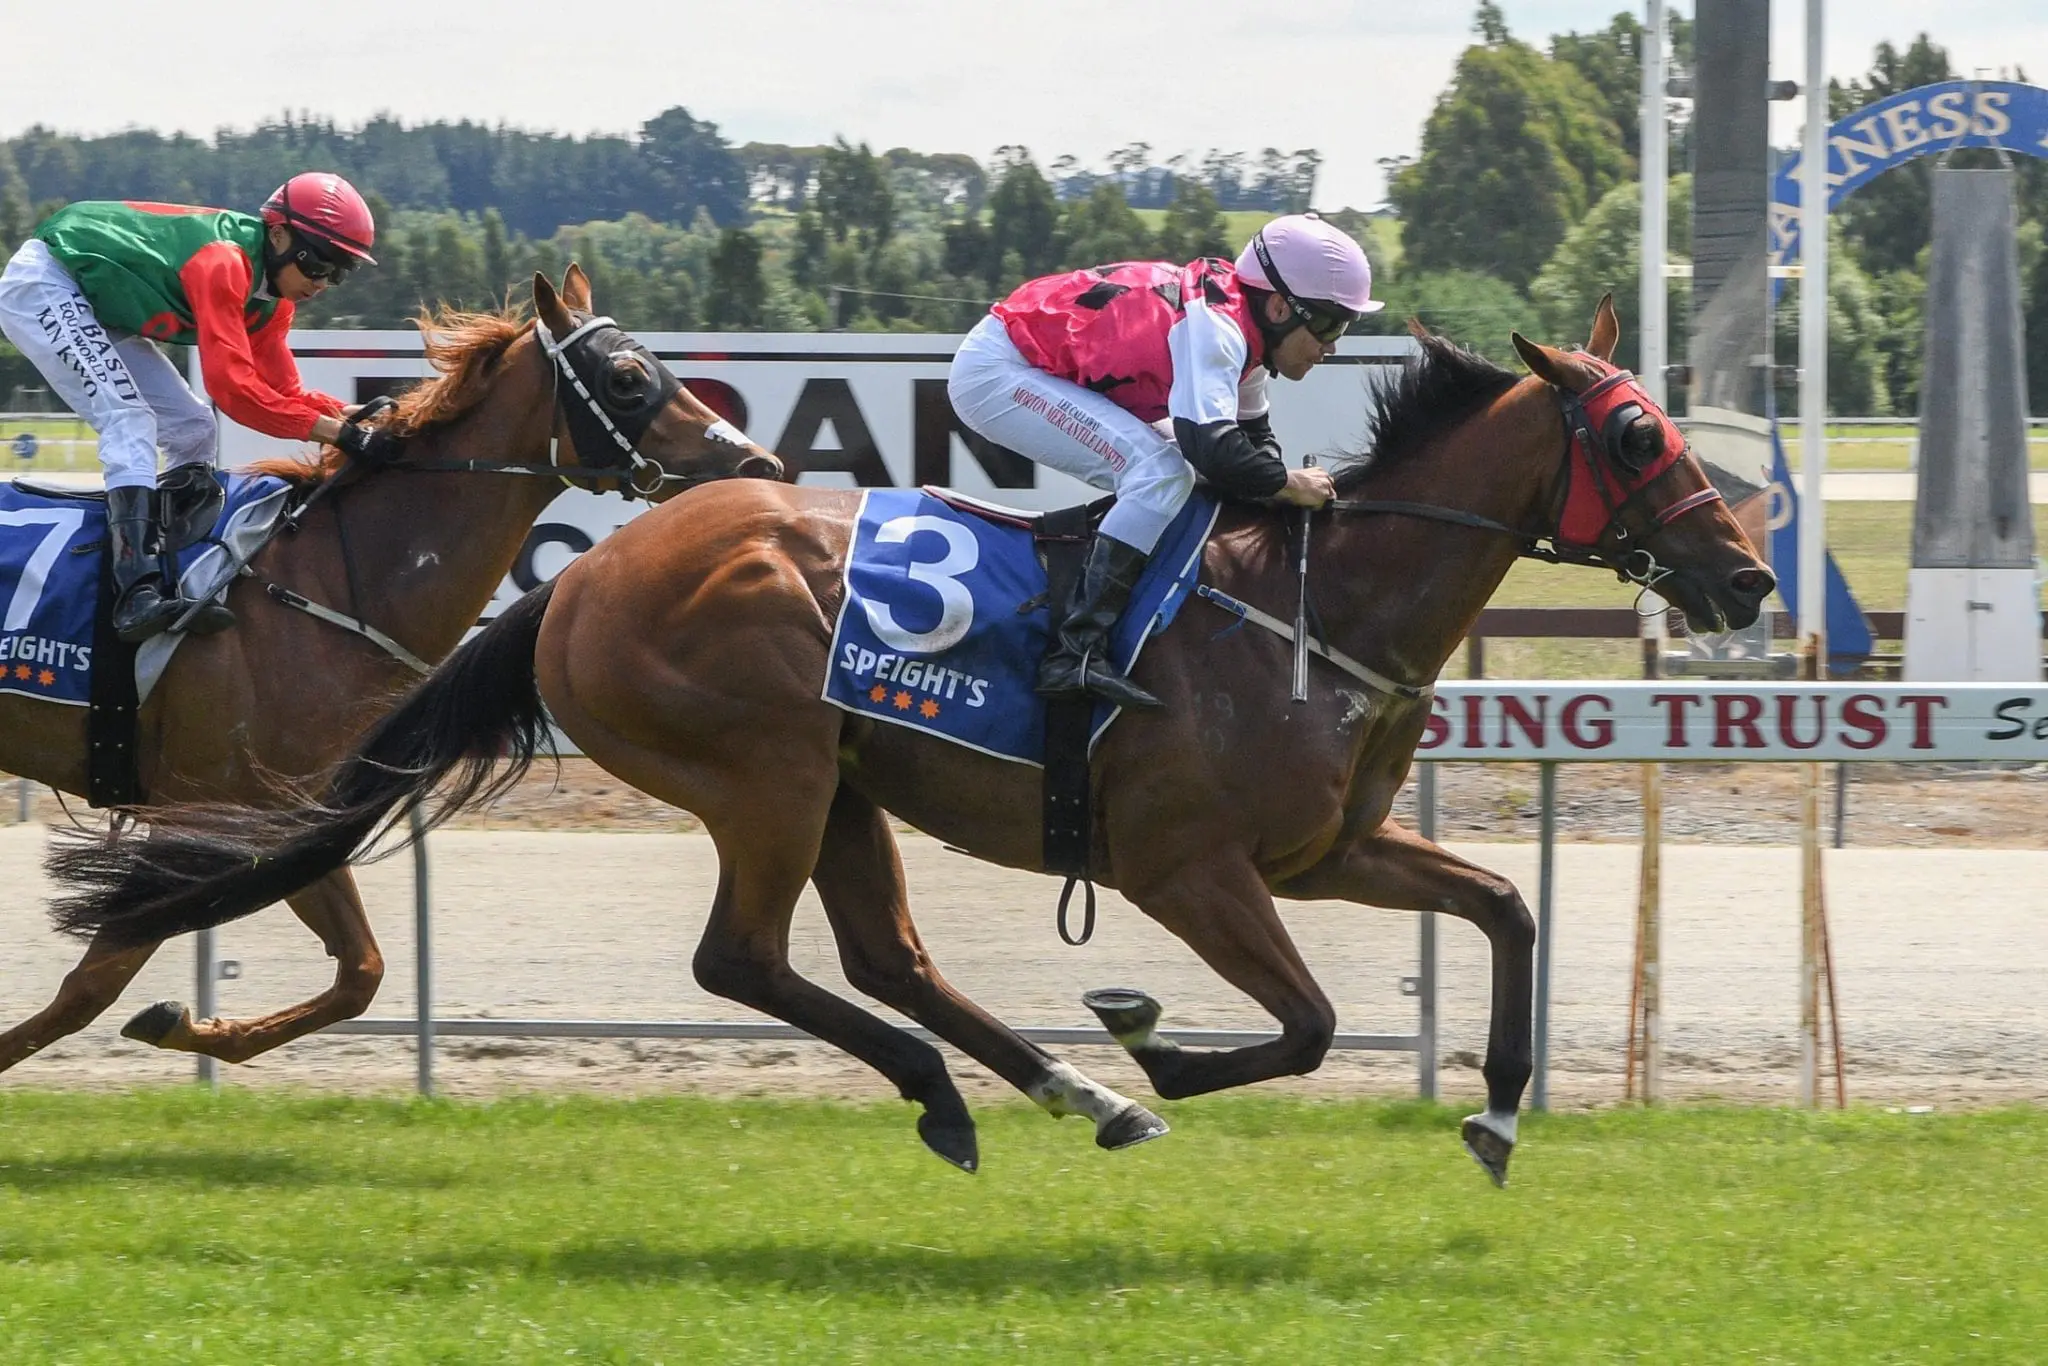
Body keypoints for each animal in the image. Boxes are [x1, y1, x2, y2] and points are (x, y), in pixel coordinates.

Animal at [0, 264, 782, 1081]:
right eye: (627, 378)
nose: (758, 466)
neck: (327, 582)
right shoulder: (198, 805)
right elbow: (94, 983)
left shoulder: (288, 811)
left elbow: (361, 972)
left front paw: (191, 1025)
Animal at [51, 301, 1777, 1187]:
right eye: (1638, 433)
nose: (1750, 577)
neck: (1312, 604)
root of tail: (571, 582)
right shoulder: (1188, 865)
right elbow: (1302, 1022)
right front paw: (1154, 1033)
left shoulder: (1327, 849)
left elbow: (1504, 906)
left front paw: (1494, 1110)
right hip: (764, 770)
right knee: (743, 961)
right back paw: (991, 1091)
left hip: (844, 782)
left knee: (883, 956)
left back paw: (1054, 1091)